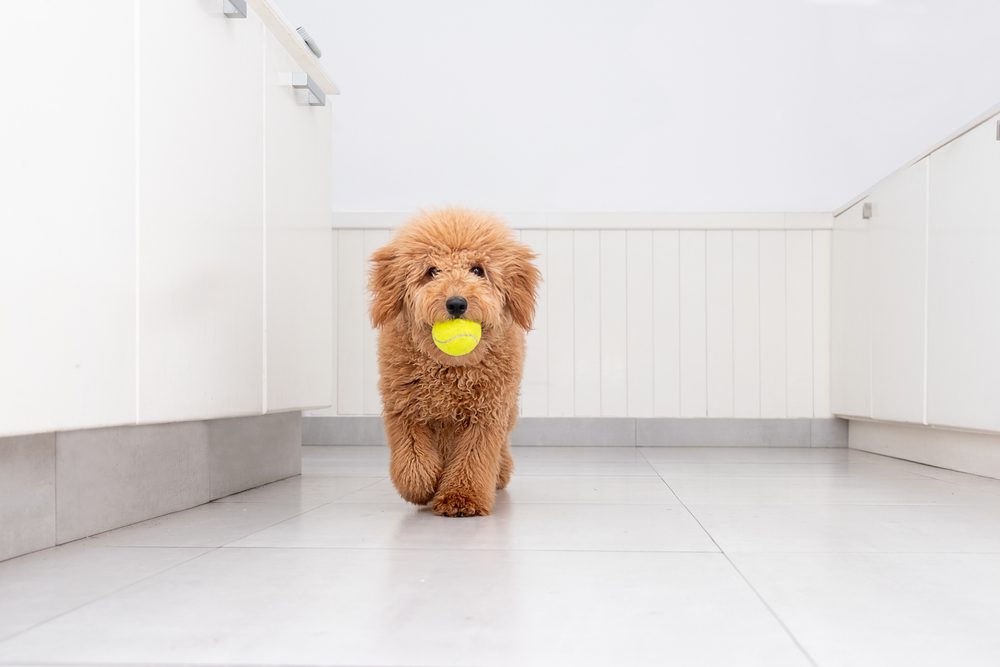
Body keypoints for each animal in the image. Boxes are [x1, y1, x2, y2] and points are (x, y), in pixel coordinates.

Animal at [368, 207, 540, 516]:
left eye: (477, 270)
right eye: (432, 271)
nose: (457, 303)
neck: (449, 369)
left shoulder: (487, 414)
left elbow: (473, 459)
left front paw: (462, 497)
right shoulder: (404, 407)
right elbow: (412, 459)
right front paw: (422, 485)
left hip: (508, 409)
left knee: (502, 447)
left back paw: (500, 473)